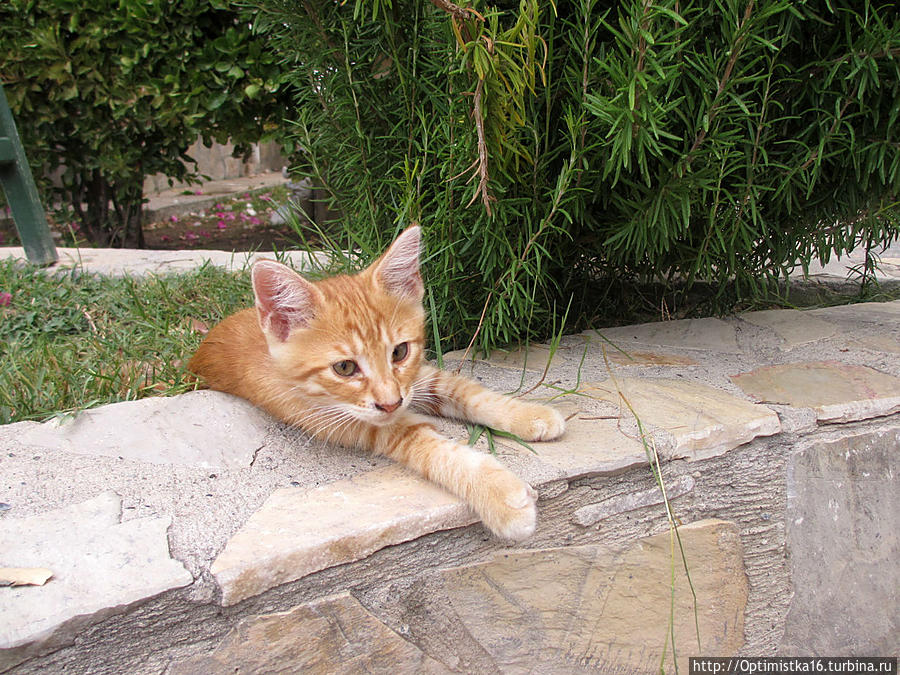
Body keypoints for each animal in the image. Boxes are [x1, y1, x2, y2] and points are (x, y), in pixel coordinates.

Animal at [188, 227, 564, 540]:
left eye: (399, 352)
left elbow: (461, 389)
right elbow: (432, 446)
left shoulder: (416, 379)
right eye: (344, 367)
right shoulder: (344, 421)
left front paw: (528, 415)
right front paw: (500, 494)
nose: (390, 403)